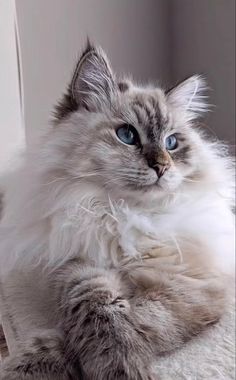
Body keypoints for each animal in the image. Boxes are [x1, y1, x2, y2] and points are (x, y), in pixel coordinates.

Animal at [0, 40, 234, 378]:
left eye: (172, 143)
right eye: (127, 135)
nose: (162, 167)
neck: (117, 213)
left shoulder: (183, 282)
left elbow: (131, 321)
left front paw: (118, 367)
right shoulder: (77, 265)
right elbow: (91, 307)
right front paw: (29, 366)